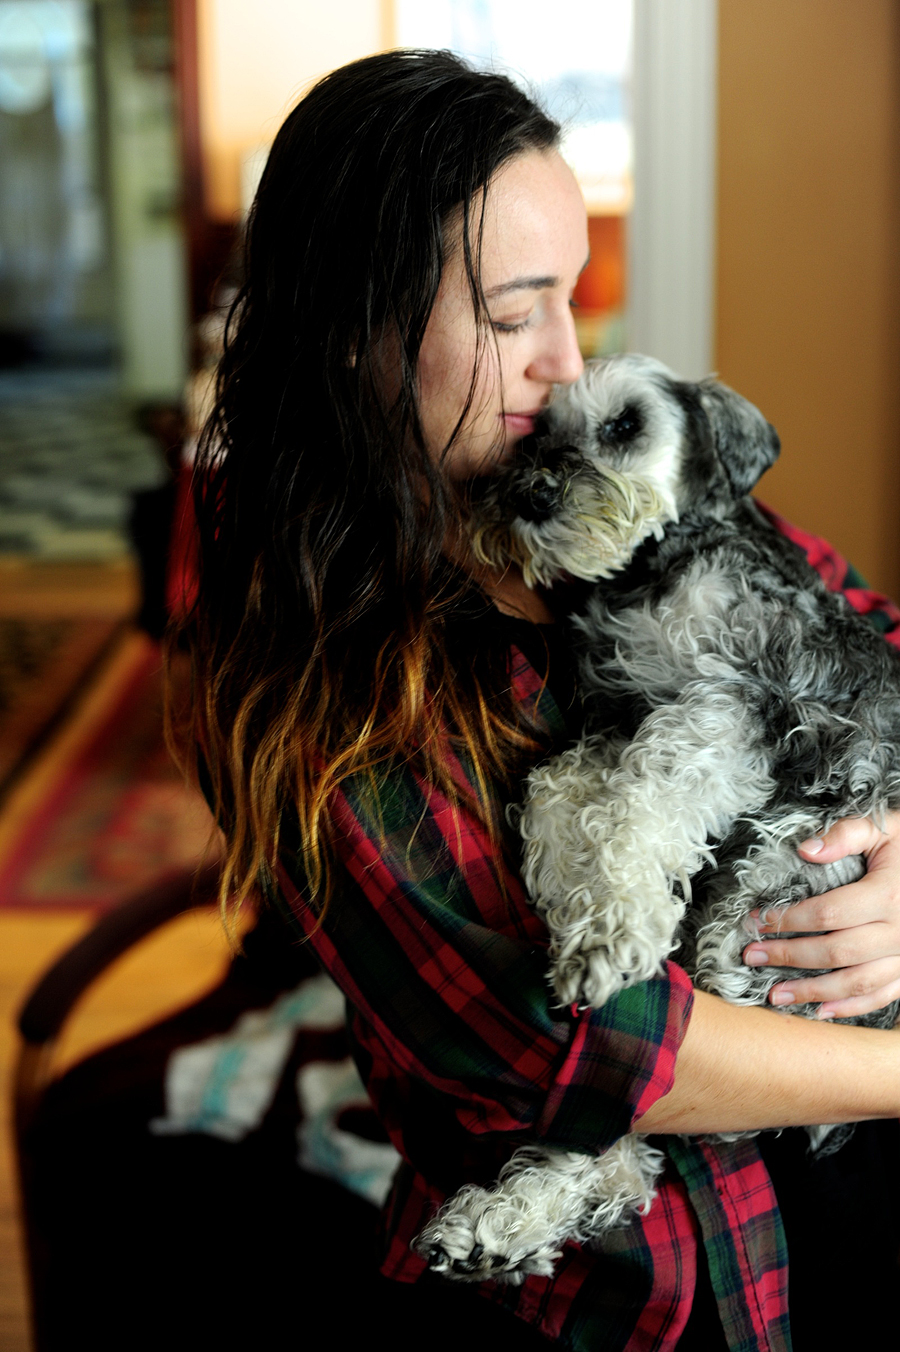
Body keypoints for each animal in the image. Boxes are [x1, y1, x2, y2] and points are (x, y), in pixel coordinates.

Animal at [410, 354, 897, 1281]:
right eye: (536, 429)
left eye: (625, 425)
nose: (531, 494)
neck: (655, 562)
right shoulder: (620, 716)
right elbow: (563, 791)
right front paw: (581, 907)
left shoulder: (733, 708)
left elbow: (646, 798)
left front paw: (609, 938)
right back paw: (500, 1224)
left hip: (765, 899)